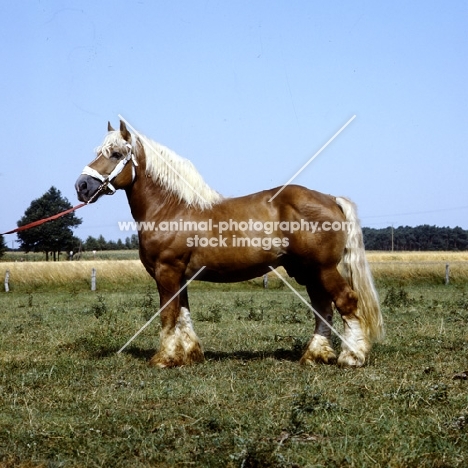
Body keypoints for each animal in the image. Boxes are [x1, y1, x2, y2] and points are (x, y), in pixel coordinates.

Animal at [76, 120, 384, 370]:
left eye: (116, 154)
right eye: (98, 151)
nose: (81, 186)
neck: (171, 208)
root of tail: (331, 199)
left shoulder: (167, 271)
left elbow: (168, 314)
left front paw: (164, 358)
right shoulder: (181, 276)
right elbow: (184, 314)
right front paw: (190, 355)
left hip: (323, 268)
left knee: (346, 300)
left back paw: (352, 356)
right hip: (308, 271)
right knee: (323, 307)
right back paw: (314, 355)